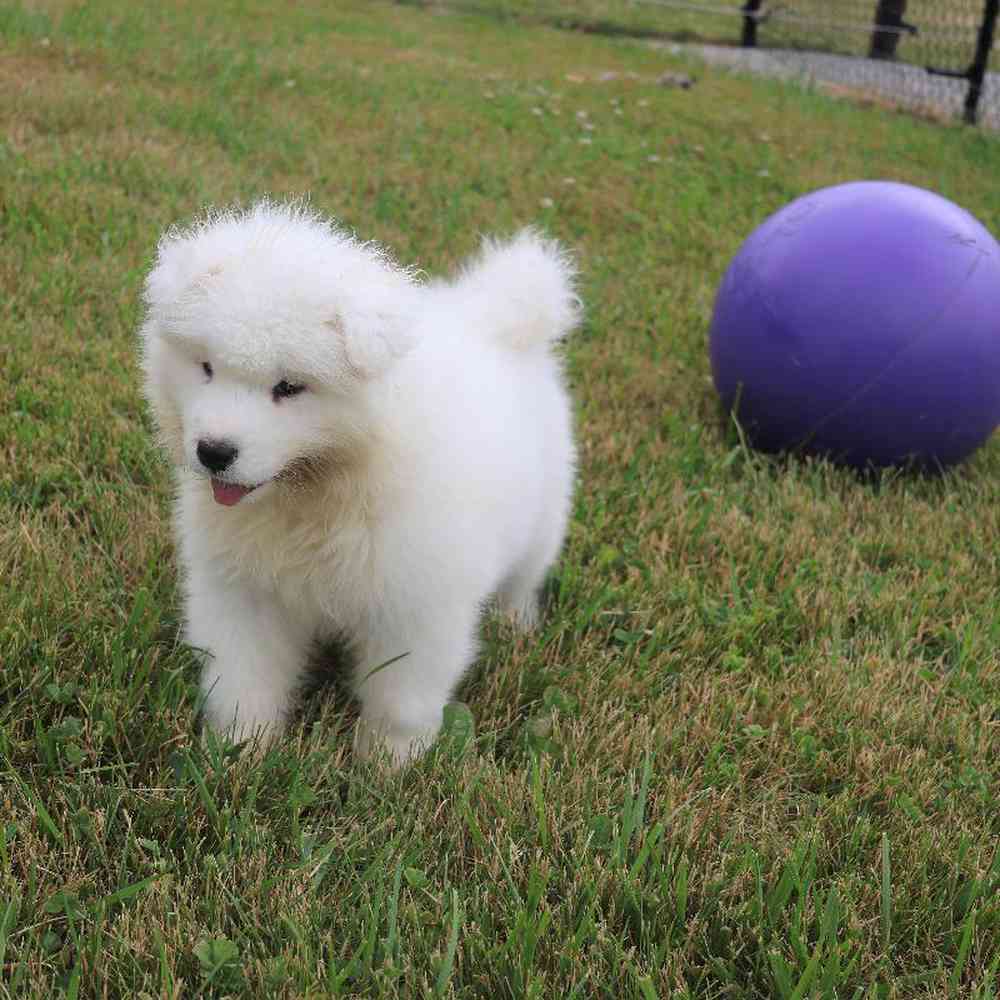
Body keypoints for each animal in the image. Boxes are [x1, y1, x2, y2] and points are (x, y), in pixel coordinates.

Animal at [140, 203, 580, 764]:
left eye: (289, 387)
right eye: (206, 368)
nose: (214, 452)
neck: (317, 494)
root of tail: (497, 319)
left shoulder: (416, 603)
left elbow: (401, 700)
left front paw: (388, 765)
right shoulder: (244, 588)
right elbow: (244, 676)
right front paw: (239, 752)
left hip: (543, 519)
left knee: (523, 577)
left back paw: (517, 622)